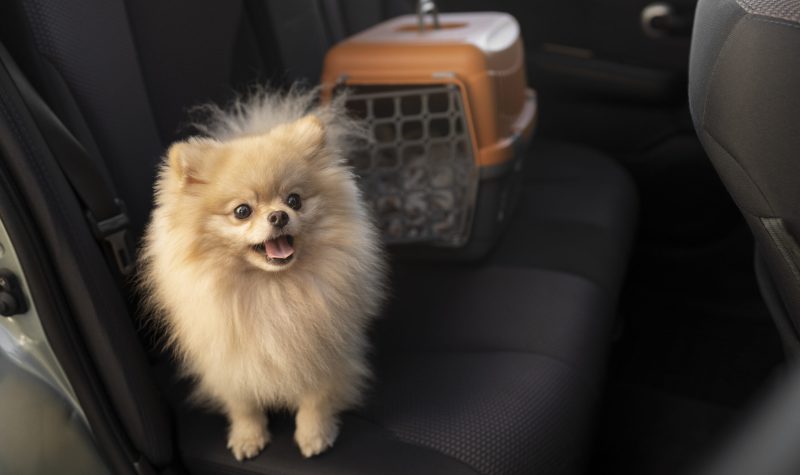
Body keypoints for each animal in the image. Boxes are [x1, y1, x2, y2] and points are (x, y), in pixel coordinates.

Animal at [140, 89, 388, 462]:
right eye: (242, 211)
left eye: (294, 200)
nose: (279, 216)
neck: (271, 289)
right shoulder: (228, 359)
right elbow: (242, 404)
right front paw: (247, 437)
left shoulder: (323, 350)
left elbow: (316, 398)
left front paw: (313, 434)